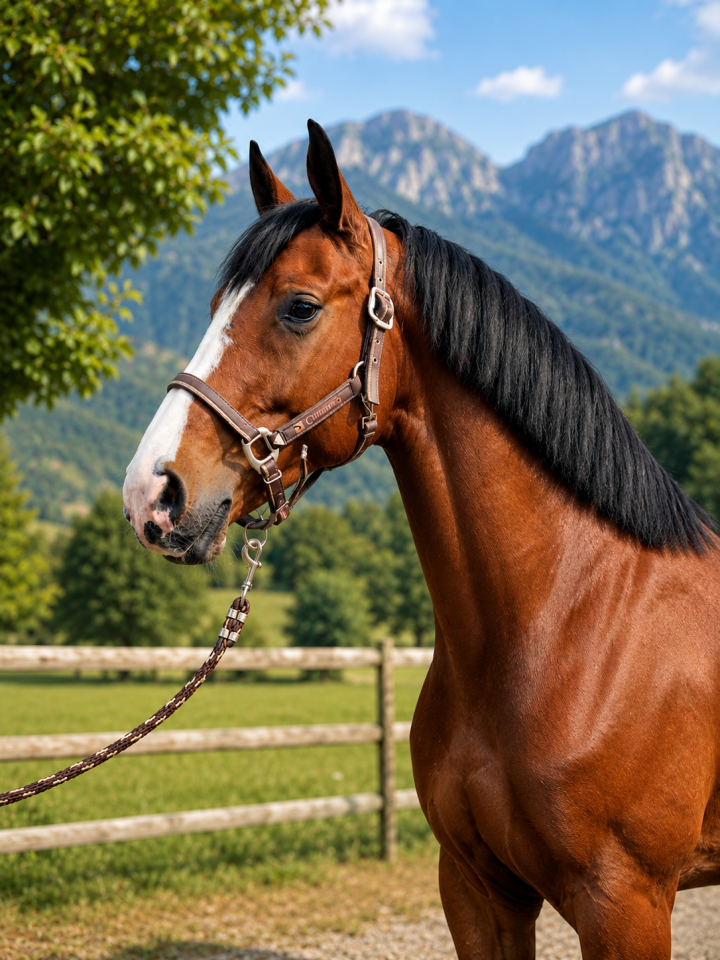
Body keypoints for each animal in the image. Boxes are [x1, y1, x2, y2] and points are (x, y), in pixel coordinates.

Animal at [123, 119, 720, 959]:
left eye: (299, 307)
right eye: (213, 306)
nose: (152, 491)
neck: (574, 622)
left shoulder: (627, 906)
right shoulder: (476, 890)